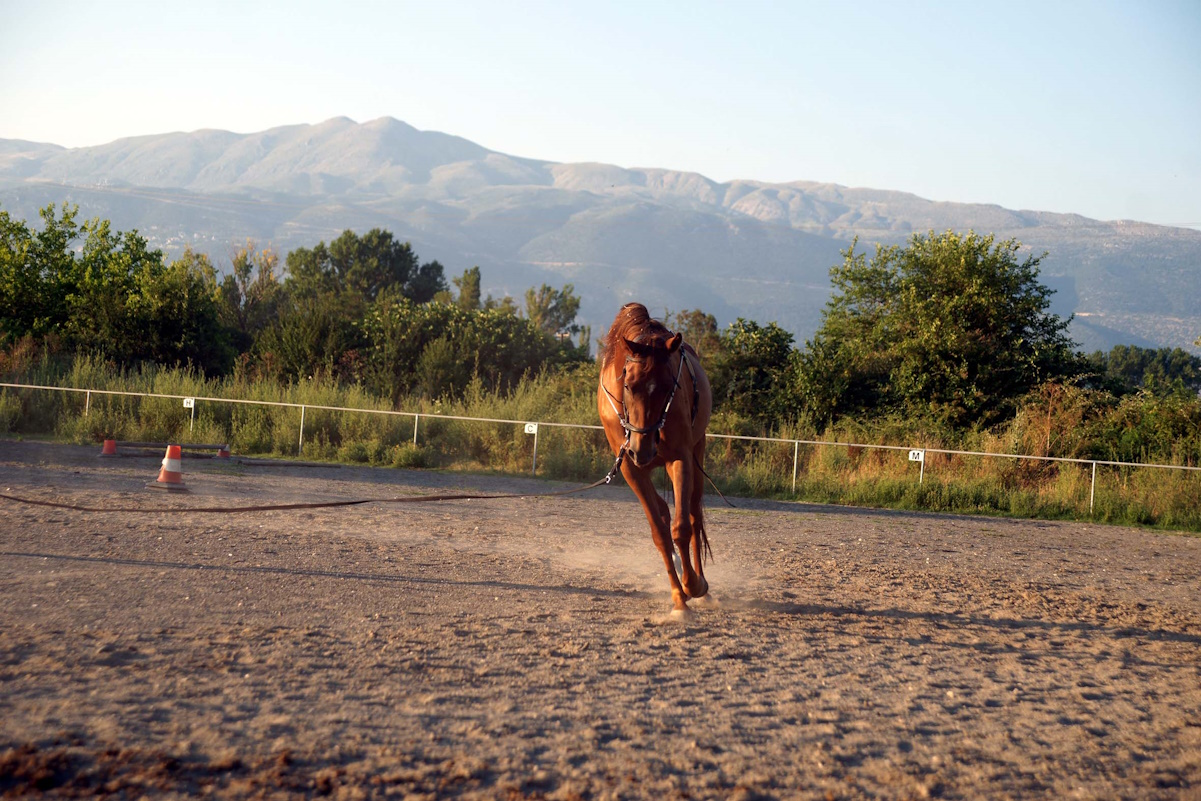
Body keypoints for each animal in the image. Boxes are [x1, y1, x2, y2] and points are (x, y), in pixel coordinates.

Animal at [598, 302, 710, 614]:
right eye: (628, 385)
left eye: (668, 386)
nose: (642, 448)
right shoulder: (630, 468)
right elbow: (660, 533)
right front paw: (678, 597)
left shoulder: (681, 458)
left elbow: (682, 528)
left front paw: (692, 586)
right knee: (663, 511)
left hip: (697, 452)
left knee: (694, 514)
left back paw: (701, 584)